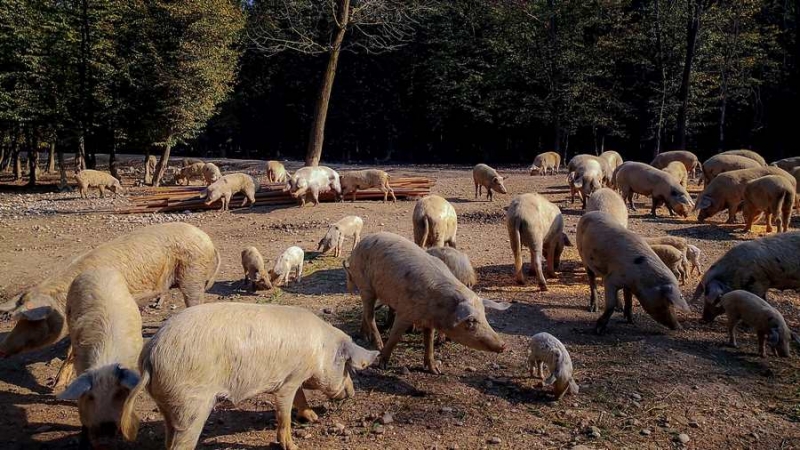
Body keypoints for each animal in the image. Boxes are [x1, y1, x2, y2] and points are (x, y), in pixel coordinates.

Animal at [120, 302, 380, 450]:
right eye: (347, 367)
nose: (352, 392)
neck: (320, 350)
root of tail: (151, 354)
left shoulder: (294, 377)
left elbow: (301, 397)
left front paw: (313, 418)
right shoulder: (289, 379)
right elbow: (285, 411)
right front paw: (294, 446)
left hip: (168, 405)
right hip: (191, 404)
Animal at [346, 232, 510, 372]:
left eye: (485, 316)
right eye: (470, 321)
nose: (503, 345)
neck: (437, 306)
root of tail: (361, 243)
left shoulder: (429, 320)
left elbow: (429, 340)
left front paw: (436, 370)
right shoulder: (405, 311)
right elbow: (395, 337)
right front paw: (382, 365)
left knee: (366, 313)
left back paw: (365, 337)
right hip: (366, 286)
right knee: (370, 316)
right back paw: (378, 345)